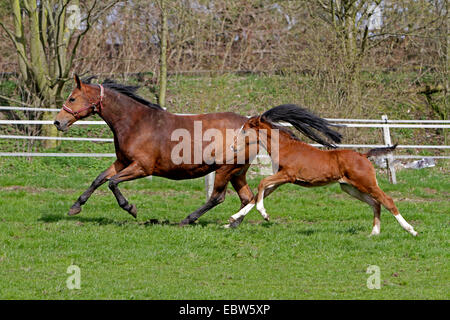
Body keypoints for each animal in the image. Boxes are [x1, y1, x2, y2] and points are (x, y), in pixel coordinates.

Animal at [54, 74, 255, 225]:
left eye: (72, 98)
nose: (57, 122)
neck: (136, 123)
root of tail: (249, 123)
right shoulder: (122, 162)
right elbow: (99, 179)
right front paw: (75, 206)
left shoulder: (142, 167)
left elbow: (112, 182)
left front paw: (131, 208)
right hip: (237, 172)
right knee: (247, 197)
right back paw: (233, 223)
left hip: (225, 169)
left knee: (217, 197)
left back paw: (188, 219)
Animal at [229, 104, 418, 236]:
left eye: (245, 130)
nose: (232, 147)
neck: (284, 147)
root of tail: (363, 155)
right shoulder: (280, 179)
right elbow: (257, 195)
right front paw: (232, 220)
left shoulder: (288, 175)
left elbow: (261, 184)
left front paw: (264, 214)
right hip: (350, 188)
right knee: (375, 203)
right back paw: (374, 232)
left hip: (367, 183)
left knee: (387, 200)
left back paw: (411, 230)